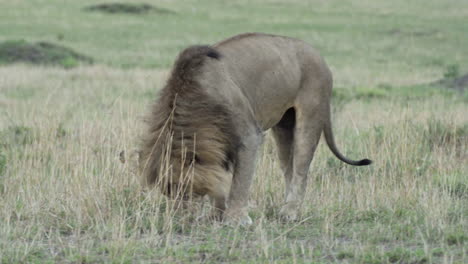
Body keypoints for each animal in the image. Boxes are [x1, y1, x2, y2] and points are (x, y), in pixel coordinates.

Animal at [141, 33, 372, 225]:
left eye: (184, 190)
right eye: (169, 191)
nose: (180, 216)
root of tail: (317, 54)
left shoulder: (249, 136)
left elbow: (240, 182)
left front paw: (235, 219)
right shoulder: (218, 142)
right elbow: (219, 179)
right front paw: (215, 214)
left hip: (311, 112)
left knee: (301, 169)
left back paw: (290, 213)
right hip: (284, 126)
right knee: (288, 168)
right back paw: (283, 209)